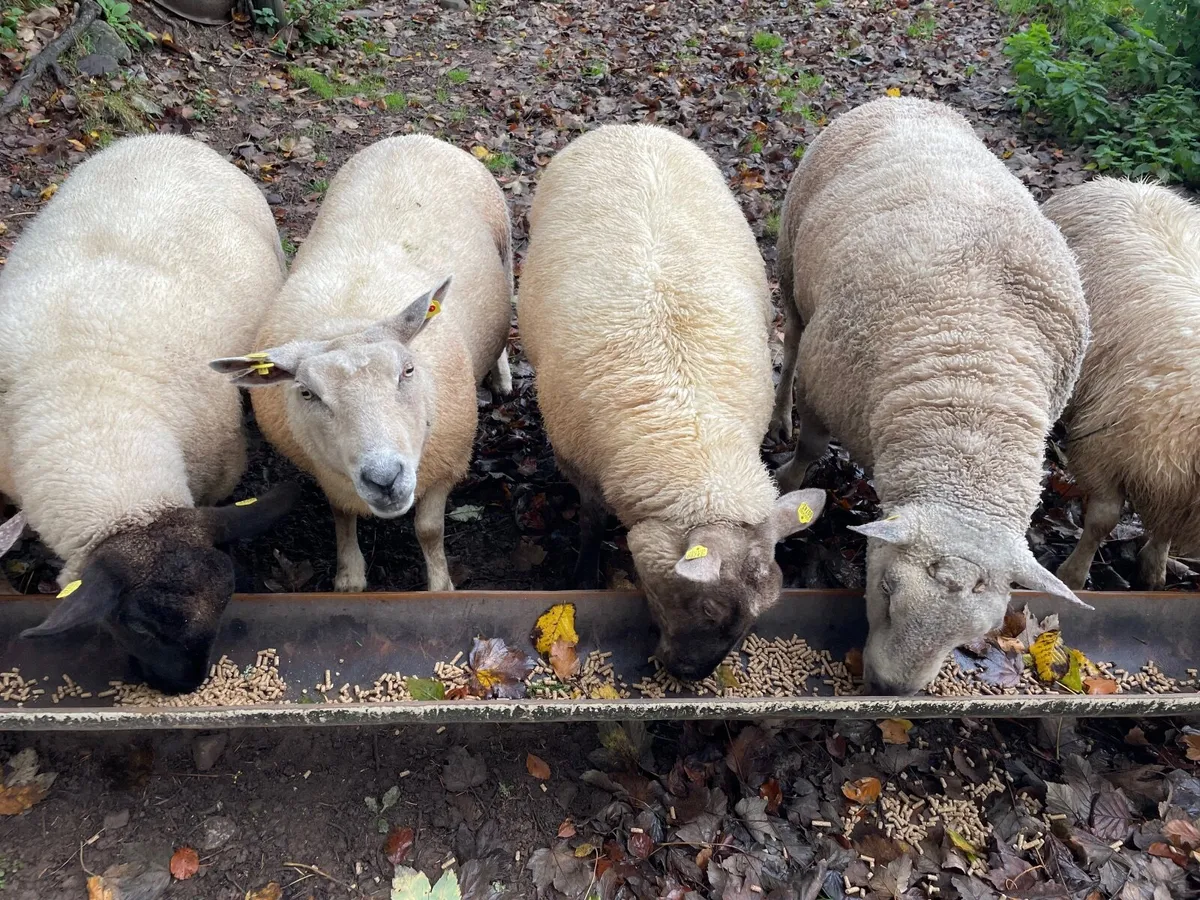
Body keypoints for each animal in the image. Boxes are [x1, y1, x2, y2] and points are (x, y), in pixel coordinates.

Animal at [211, 136, 513, 593]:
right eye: (307, 393)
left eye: (407, 371)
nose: (384, 478)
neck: (349, 320)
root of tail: (412, 137)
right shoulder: (330, 474)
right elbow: (342, 515)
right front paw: (349, 575)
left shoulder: (447, 463)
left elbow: (429, 530)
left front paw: (440, 586)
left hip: (506, 249)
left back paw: (502, 376)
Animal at [518, 123, 827, 681]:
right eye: (707, 606)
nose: (690, 676)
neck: (690, 429)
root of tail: (631, 127)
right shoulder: (578, 462)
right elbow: (591, 522)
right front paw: (585, 571)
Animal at [769, 97, 1091, 695]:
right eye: (886, 590)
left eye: (977, 634)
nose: (889, 691)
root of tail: (905, 97)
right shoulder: (824, 388)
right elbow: (810, 449)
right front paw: (790, 480)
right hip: (791, 263)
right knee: (792, 340)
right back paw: (780, 416)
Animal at [1042, 178, 1200, 590]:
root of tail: (1122, 182)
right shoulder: (1105, 449)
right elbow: (1103, 520)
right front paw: (1072, 576)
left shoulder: (1175, 480)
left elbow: (1166, 526)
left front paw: (1154, 572)